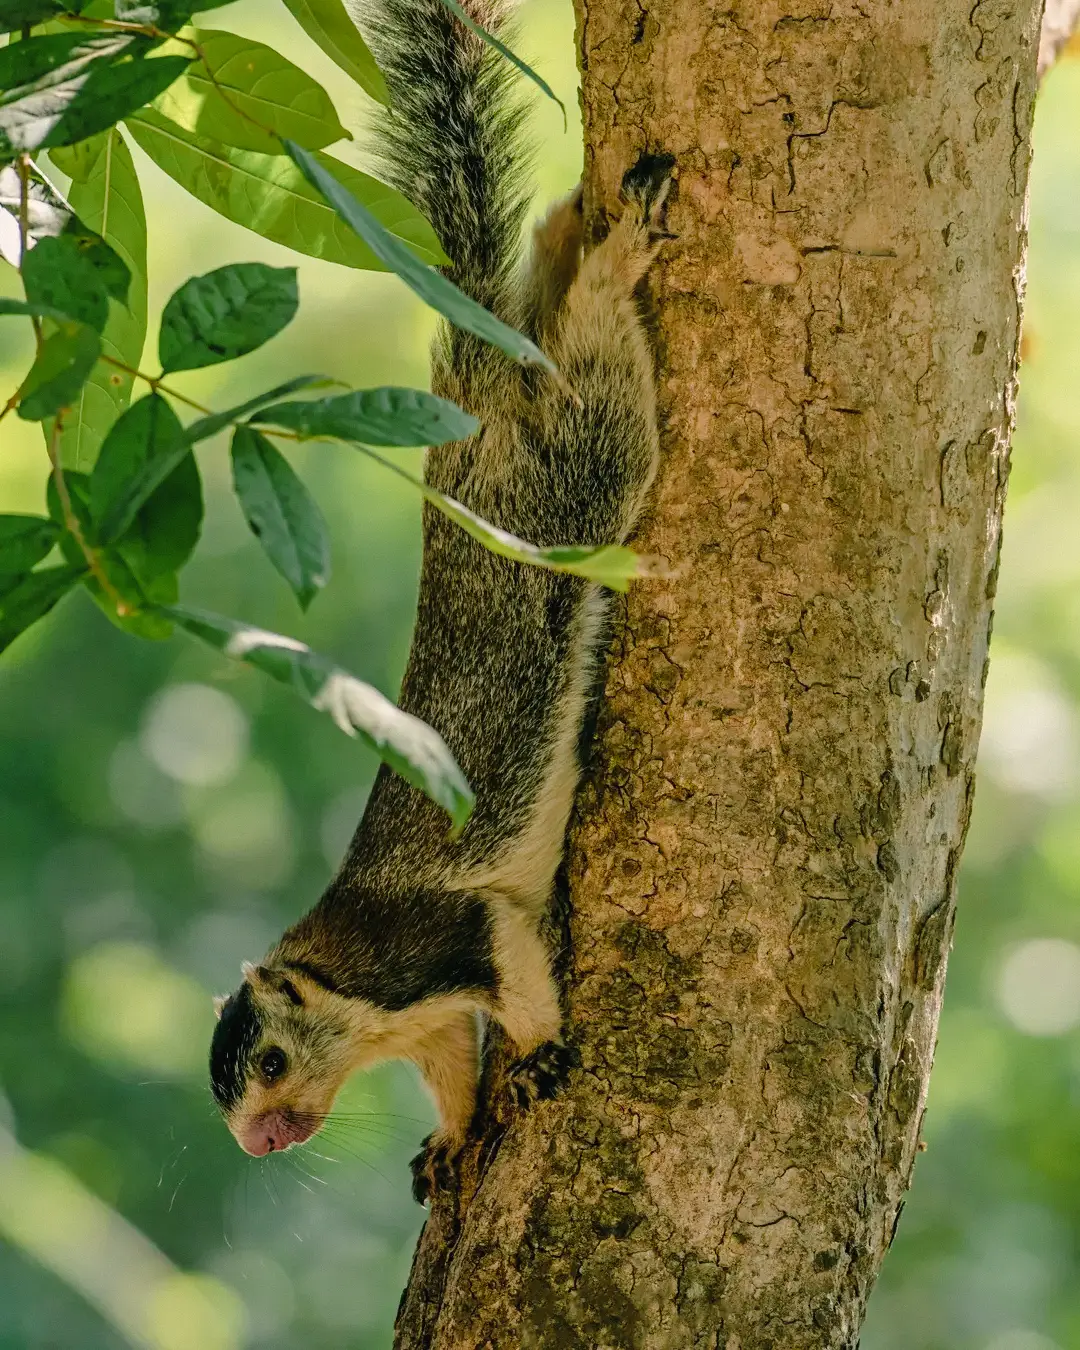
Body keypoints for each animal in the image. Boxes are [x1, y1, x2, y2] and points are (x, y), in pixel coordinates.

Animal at [209, 0, 674, 1202]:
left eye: (270, 1061)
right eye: (223, 1092)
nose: (260, 1143)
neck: (348, 997)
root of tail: (473, 390)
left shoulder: (439, 942)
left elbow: (513, 977)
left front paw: (545, 1052)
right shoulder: (419, 1024)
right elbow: (452, 1072)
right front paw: (455, 1140)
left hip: (580, 481)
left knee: (594, 366)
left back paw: (614, 257)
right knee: (544, 288)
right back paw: (571, 223)